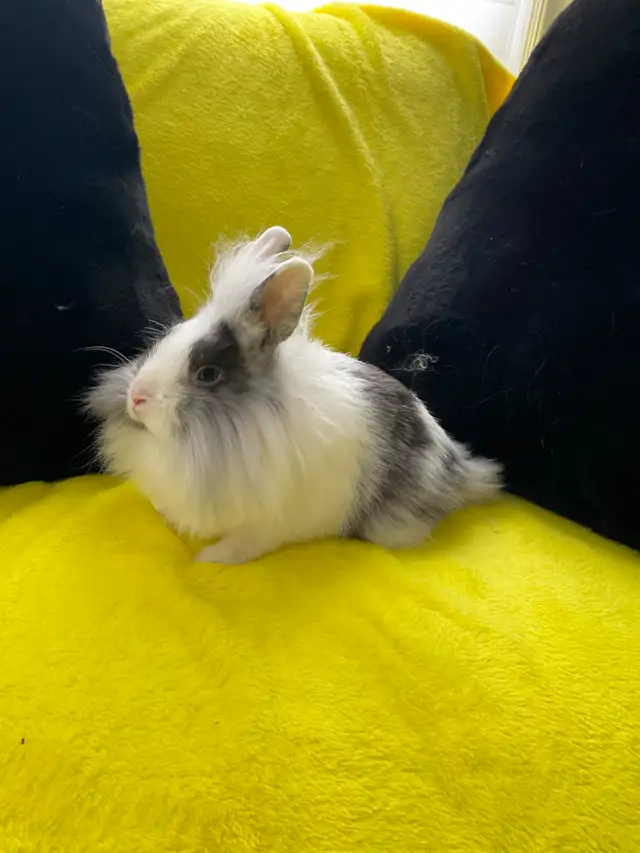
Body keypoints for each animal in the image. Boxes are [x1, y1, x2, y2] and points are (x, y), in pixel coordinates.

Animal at [87, 226, 502, 564]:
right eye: (169, 336)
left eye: (208, 374)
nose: (136, 398)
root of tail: (458, 467)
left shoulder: (266, 523)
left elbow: (241, 545)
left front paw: (209, 559)